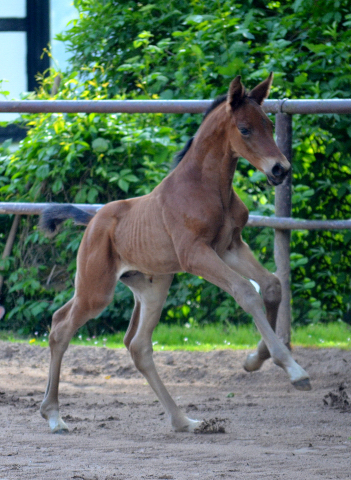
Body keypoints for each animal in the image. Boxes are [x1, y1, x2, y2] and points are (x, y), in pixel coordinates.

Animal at [40, 75, 312, 436]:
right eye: (244, 129)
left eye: (269, 125)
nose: (280, 169)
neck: (208, 187)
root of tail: (93, 218)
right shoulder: (195, 254)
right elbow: (246, 292)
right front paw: (294, 371)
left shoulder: (230, 246)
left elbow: (271, 286)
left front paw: (256, 359)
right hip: (96, 290)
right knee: (62, 328)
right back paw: (55, 416)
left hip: (152, 285)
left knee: (136, 345)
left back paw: (184, 421)